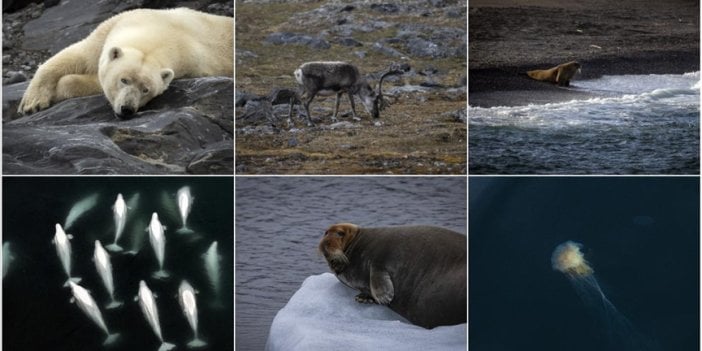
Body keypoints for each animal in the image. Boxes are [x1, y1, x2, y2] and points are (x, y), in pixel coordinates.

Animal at [17, 6, 234, 119]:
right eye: (124, 80)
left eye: (146, 90)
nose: (127, 109)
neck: (158, 32)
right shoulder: (111, 27)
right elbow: (77, 55)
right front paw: (32, 104)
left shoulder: (188, 66)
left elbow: (94, 81)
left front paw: (60, 88)